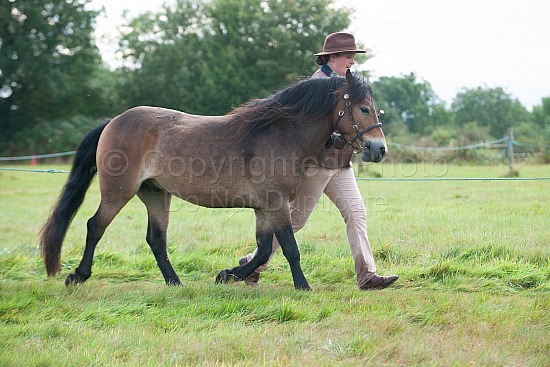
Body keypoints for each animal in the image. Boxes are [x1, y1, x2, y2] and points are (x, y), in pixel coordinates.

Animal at [40, 70, 388, 292]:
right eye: (363, 108)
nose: (379, 149)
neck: (279, 134)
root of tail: (113, 121)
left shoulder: (264, 208)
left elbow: (264, 249)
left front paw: (227, 275)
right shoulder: (275, 204)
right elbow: (289, 248)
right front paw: (303, 287)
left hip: (156, 194)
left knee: (156, 239)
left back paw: (175, 283)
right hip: (118, 191)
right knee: (95, 226)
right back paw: (79, 276)